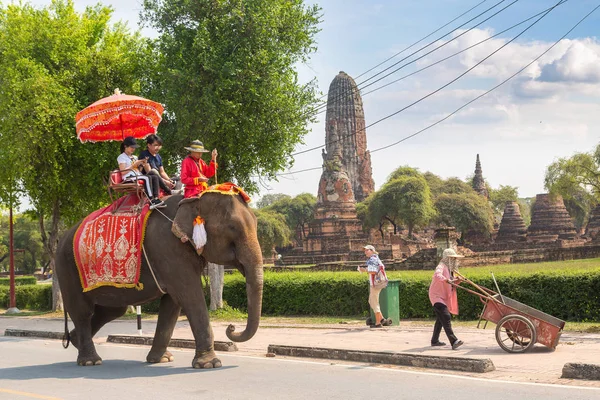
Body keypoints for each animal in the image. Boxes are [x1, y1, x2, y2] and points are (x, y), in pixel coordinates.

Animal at [53, 192, 262, 368]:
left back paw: (76, 342)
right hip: (66, 269)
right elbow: (189, 295)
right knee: (82, 312)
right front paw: (210, 364)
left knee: (112, 310)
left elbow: (172, 304)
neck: (191, 199)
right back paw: (90, 361)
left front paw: (162, 360)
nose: (231, 327)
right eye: (233, 228)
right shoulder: (168, 249)